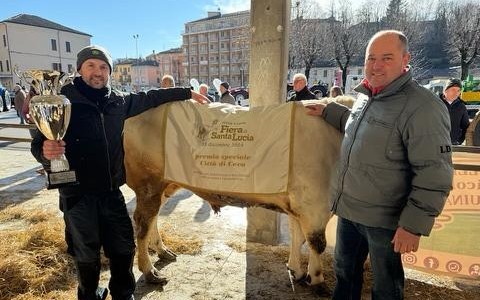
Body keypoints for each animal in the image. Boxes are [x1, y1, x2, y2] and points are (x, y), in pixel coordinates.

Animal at [122, 98, 350, 292]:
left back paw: (163, 251)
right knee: (142, 223)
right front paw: (317, 280)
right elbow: (316, 243)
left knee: (152, 219)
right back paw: (150, 271)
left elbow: (298, 237)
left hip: (163, 185)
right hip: (149, 183)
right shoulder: (315, 204)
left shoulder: (299, 205)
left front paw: (297, 270)